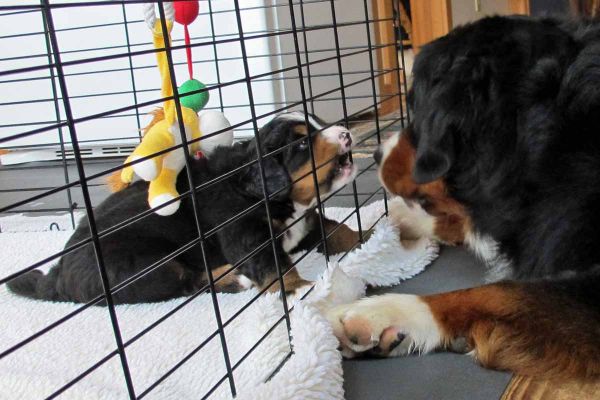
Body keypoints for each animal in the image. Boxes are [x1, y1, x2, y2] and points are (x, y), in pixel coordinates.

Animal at [7, 111, 360, 304]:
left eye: (319, 121)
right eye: (301, 144)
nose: (345, 133)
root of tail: (58, 274)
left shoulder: (304, 223)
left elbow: (336, 229)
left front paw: (365, 235)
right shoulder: (245, 232)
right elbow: (272, 263)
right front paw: (298, 288)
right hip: (141, 265)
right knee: (186, 282)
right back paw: (233, 279)